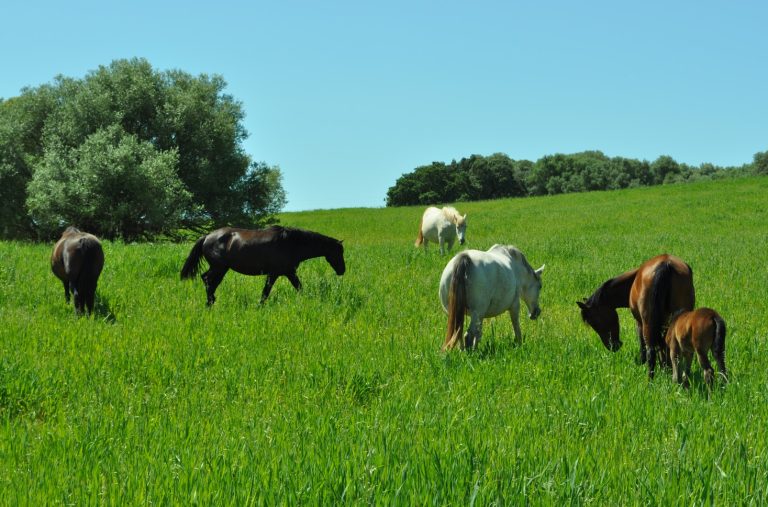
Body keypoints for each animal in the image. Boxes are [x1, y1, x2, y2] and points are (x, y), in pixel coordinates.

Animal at [180, 226, 344, 306]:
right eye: (338, 252)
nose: (342, 270)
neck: (292, 243)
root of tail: (207, 236)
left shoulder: (289, 272)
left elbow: (299, 287)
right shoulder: (275, 273)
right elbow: (266, 292)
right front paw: (260, 306)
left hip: (220, 268)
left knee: (207, 279)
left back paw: (211, 302)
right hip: (219, 268)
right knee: (208, 280)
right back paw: (210, 302)